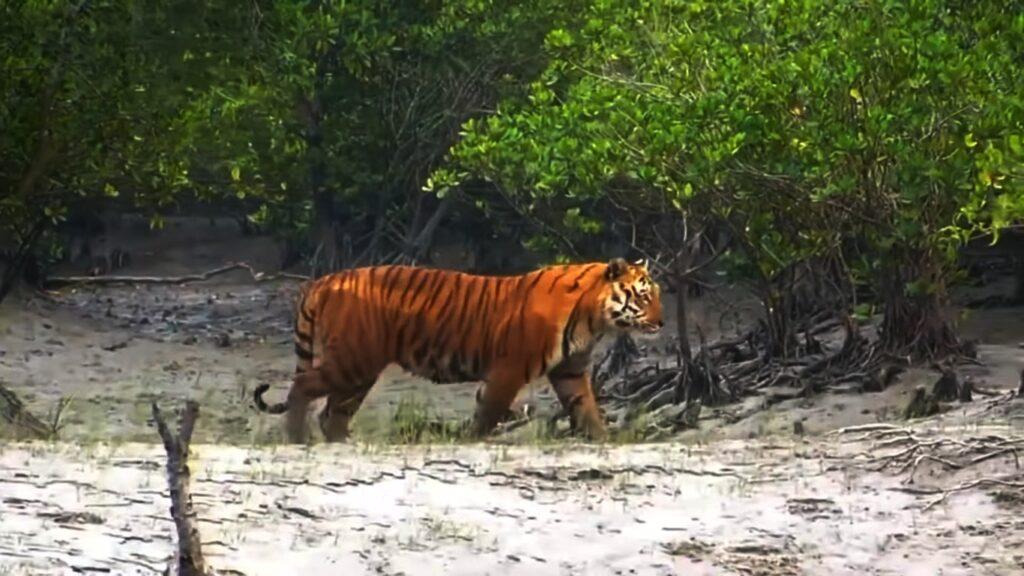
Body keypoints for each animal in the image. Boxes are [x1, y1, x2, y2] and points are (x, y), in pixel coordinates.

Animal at [256, 258, 663, 440]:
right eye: (644, 295)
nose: (661, 323)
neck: (592, 319)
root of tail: (322, 281)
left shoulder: (570, 371)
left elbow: (587, 408)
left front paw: (604, 440)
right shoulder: (509, 369)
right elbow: (490, 409)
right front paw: (472, 439)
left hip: (358, 370)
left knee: (333, 413)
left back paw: (340, 443)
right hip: (353, 361)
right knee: (302, 387)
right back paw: (298, 438)